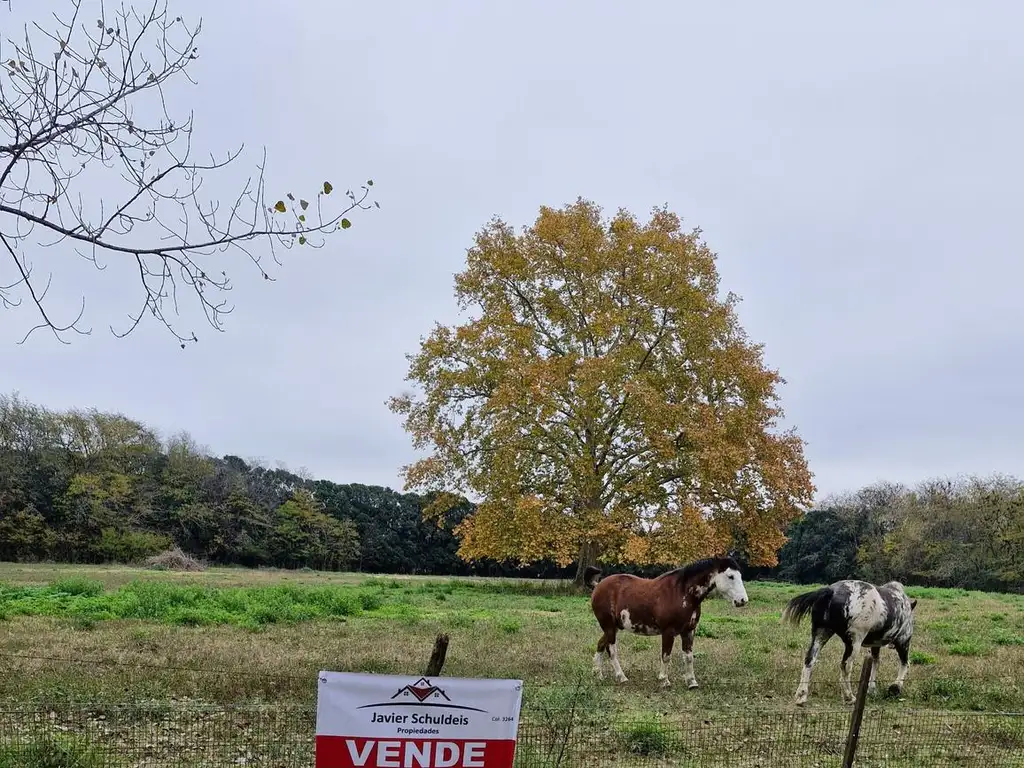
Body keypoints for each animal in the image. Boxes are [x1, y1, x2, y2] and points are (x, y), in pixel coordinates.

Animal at [589, 557, 749, 688]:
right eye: (730, 576)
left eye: (740, 575)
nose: (743, 600)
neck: (682, 593)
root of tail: (598, 585)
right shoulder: (668, 632)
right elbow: (666, 656)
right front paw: (664, 680)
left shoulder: (689, 631)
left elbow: (689, 657)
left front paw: (692, 682)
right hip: (609, 627)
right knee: (612, 650)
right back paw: (621, 677)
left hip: (613, 628)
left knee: (601, 645)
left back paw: (598, 674)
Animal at [778, 581, 917, 708]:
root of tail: (831, 591)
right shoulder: (903, 641)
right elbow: (905, 664)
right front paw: (895, 687)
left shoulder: (875, 644)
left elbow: (876, 663)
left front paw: (872, 689)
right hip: (854, 642)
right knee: (846, 666)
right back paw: (849, 697)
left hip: (821, 634)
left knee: (809, 660)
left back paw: (801, 696)